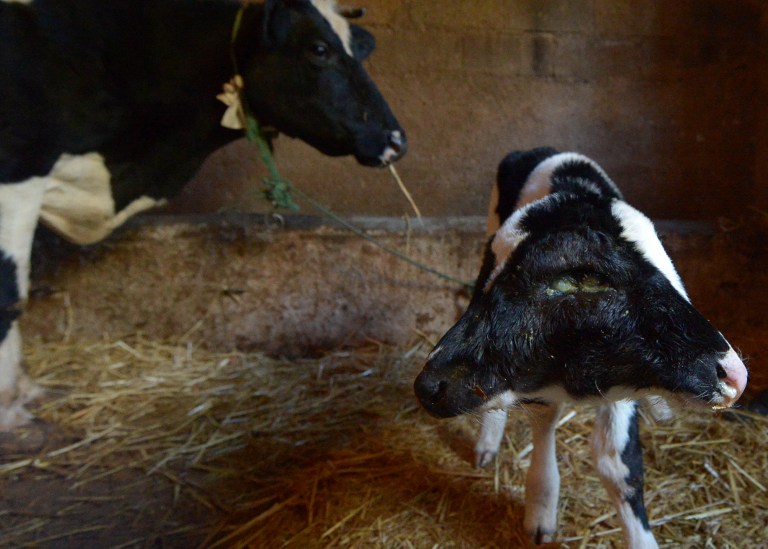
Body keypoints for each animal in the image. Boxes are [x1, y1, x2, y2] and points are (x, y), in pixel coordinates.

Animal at [0, 0, 408, 428]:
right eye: (318, 49)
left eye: (358, 48)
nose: (396, 140)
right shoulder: (16, 172)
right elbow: (9, 293)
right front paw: (13, 410)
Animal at [416, 148, 748, 544]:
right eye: (582, 279)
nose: (732, 374)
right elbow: (545, 422)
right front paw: (541, 509)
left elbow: (618, 465)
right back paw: (488, 443)